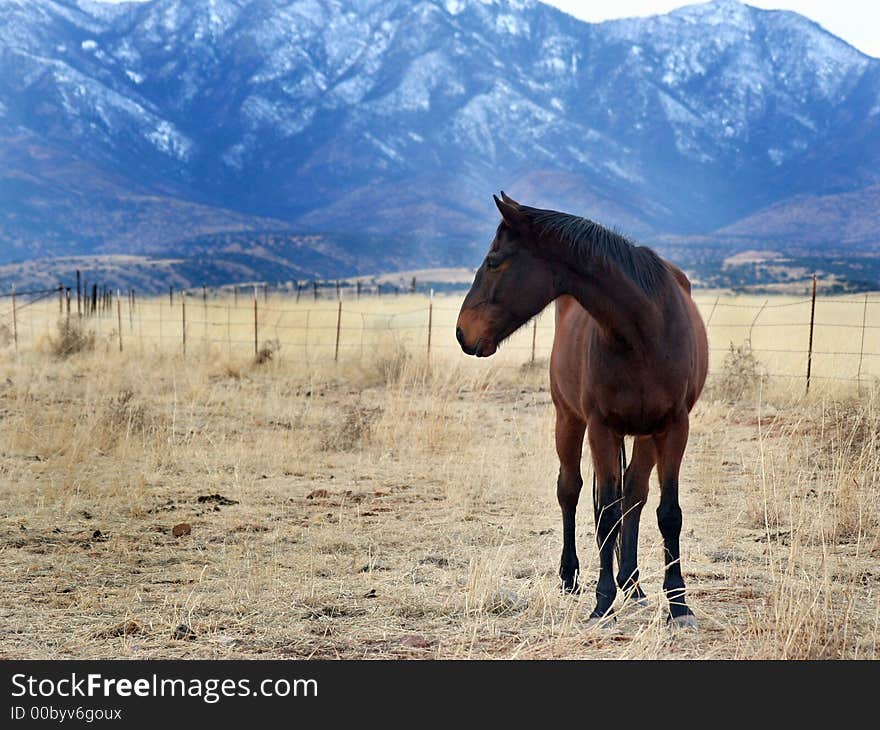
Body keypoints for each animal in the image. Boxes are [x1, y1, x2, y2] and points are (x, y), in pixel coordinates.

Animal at [454, 192, 708, 624]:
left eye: (494, 261)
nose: (461, 332)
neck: (644, 331)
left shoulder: (674, 427)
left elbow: (667, 513)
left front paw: (678, 604)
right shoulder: (601, 428)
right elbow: (605, 513)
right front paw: (603, 603)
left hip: (644, 435)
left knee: (634, 496)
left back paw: (633, 584)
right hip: (568, 421)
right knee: (569, 490)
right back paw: (571, 577)